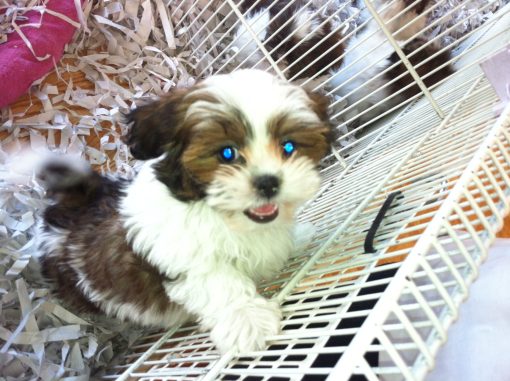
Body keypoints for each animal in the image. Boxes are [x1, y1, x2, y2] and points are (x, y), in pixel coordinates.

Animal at [37, 69, 332, 354]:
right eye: (227, 153)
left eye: (289, 146)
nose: (268, 182)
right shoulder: (185, 257)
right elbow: (220, 283)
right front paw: (247, 320)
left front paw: (299, 236)